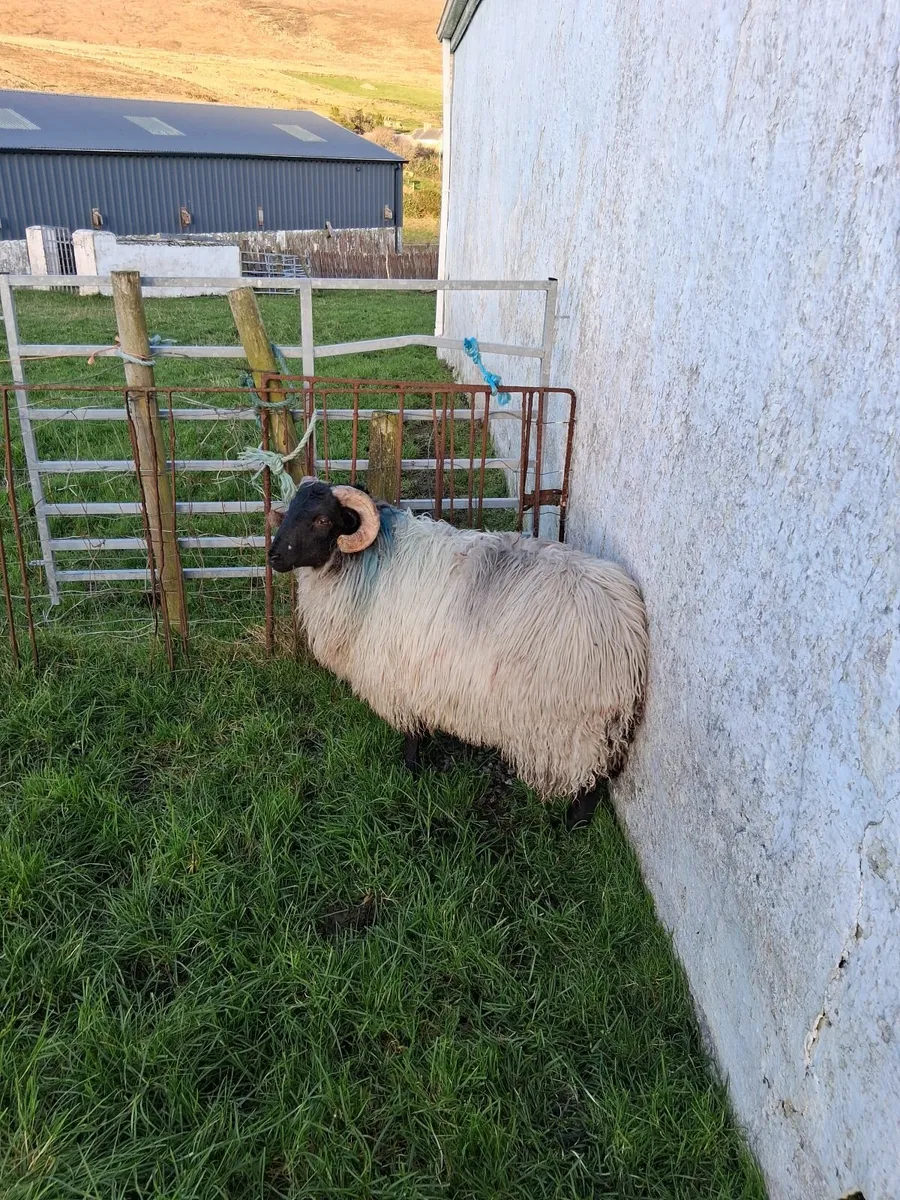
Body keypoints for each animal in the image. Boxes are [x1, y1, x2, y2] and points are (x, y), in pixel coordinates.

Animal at [268, 480, 648, 829]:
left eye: (322, 520)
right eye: (291, 509)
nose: (274, 556)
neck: (370, 563)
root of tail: (630, 631)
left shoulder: (401, 675)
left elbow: (412, 734)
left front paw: (410, 770)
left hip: (571, 725)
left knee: (591, 780)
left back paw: (572, 825)